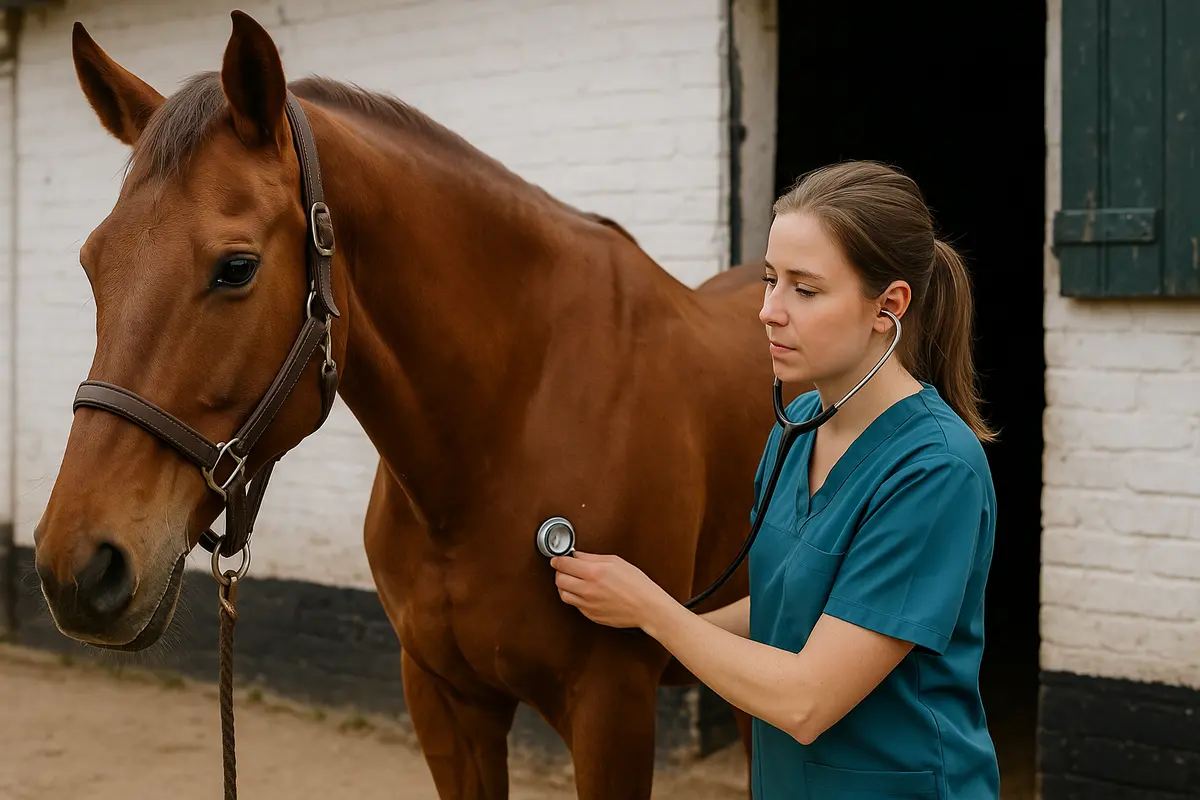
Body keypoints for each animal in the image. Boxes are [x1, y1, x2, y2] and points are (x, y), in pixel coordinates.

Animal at [31, 10, 788, 798]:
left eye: (236, 268)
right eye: (92, 262)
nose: (78, 569)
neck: (506, 429)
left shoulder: (612, 709)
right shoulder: (443, 700)